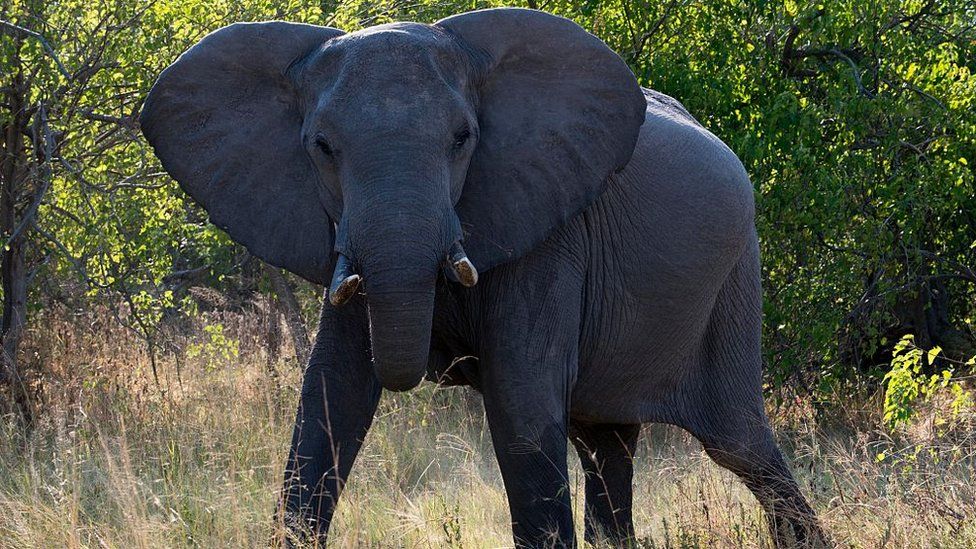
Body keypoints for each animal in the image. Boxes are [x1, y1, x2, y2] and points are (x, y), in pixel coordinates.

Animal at [141, 8, 828, 548]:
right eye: (321, 148)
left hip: (734, 281)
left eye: (463, 139)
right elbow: (327, 402)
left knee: (740, 445)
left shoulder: (549, 231)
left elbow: (521, 411)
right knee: (605, 445)